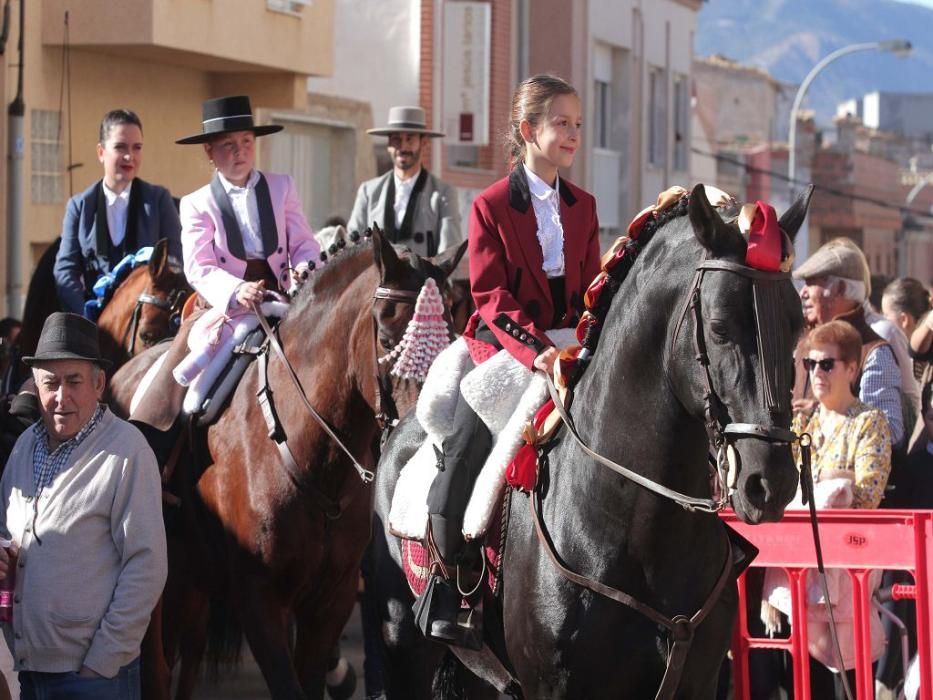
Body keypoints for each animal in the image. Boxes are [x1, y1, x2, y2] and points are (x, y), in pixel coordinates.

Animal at [111, 227, 466, 696]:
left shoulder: (331, 599)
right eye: (390, 341)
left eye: (454, 340)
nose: (431, 444)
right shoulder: (259, 598)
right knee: (156, 666)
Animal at [368, 183, 812, 696]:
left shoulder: (696, 683)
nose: (771, 482)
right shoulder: (556, 687)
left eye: (797, 326)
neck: (637, 530)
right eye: (719, 327)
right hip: (402, 645)